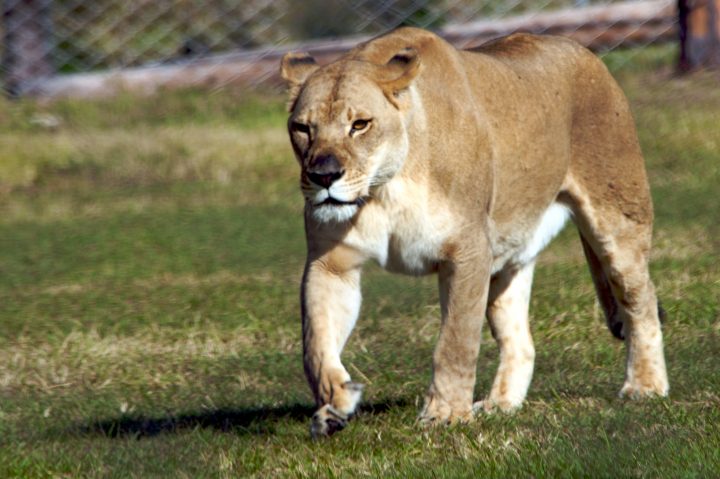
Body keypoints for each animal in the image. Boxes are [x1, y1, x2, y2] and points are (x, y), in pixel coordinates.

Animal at [280, 27, 668, 438]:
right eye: (302, 128)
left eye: (360, 124)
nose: (323, 176)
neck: (383, 190)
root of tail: (584, 52)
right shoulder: (330, 264)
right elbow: (315, 346)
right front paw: (335, 404)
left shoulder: (467, 252)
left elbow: (456, 341)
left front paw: (446, 414)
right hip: (507, 258)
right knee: (520, 341)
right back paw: (500, 405)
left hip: (617, 219)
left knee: (640, 301)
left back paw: (645, 387)